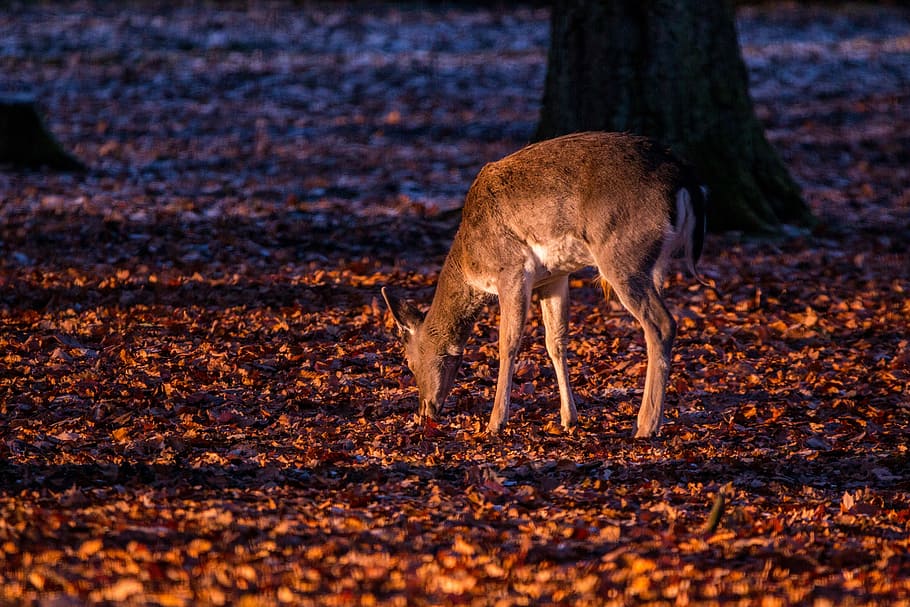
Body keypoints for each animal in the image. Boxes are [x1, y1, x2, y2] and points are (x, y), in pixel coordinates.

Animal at [382, 131, 707, 437]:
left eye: (409, 362)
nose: (425, 411)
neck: (470, 262)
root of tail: (686, 181)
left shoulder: (511, 269)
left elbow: (508, 342)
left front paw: (496, 422)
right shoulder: (554, 277)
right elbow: (556, 341)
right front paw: (569, 419)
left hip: (622, 254)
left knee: (662, 324)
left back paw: (646, 425)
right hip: (656, 263)